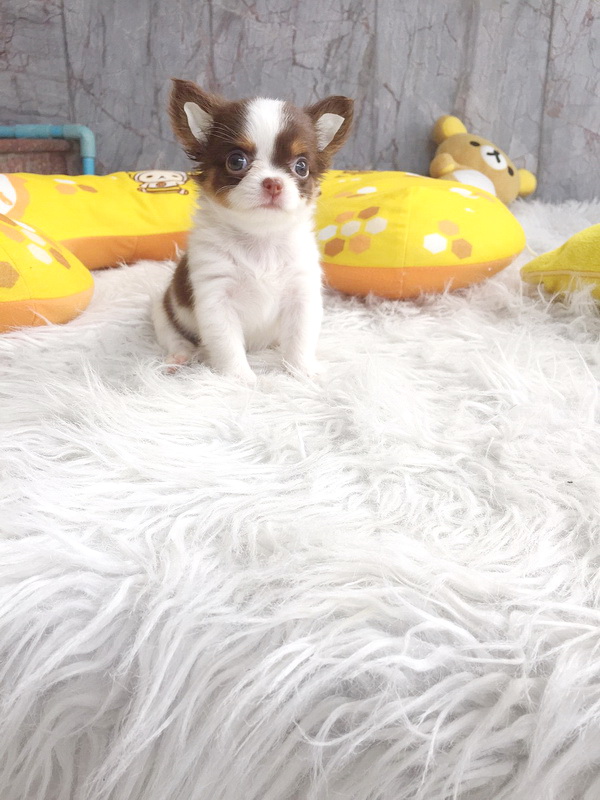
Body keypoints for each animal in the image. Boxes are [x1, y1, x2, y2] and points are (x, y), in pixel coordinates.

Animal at [152, 79, 353, 384]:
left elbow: (301, 338)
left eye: (301, 167)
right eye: (236, 161)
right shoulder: (216, 298)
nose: (273, 183)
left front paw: (303, 372)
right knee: (175, 338)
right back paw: (179, 358)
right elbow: (227, 344)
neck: (261, 241)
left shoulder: (302, 294)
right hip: (163, 311)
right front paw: (240, 380)